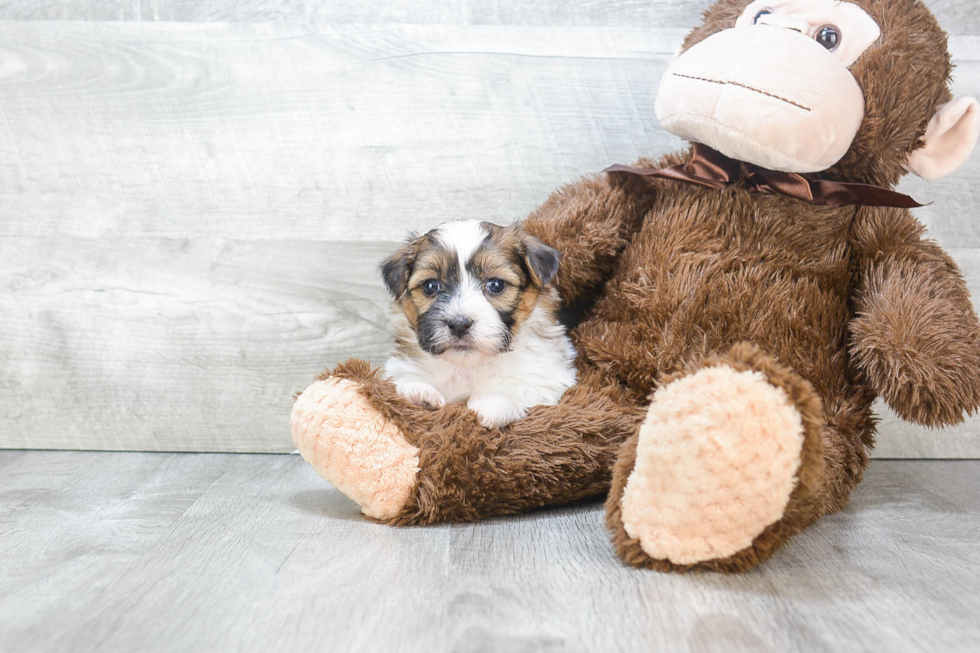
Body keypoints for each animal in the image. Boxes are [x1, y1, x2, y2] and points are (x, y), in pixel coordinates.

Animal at [378, 220, 580, 428]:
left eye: (496, 285)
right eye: (431, 286)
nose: (459, 324)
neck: (468, 366)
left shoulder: (546, 378)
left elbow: (509, 384)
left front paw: (490, 403)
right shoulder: (399, 367)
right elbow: (400, 380)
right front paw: (420, 392)